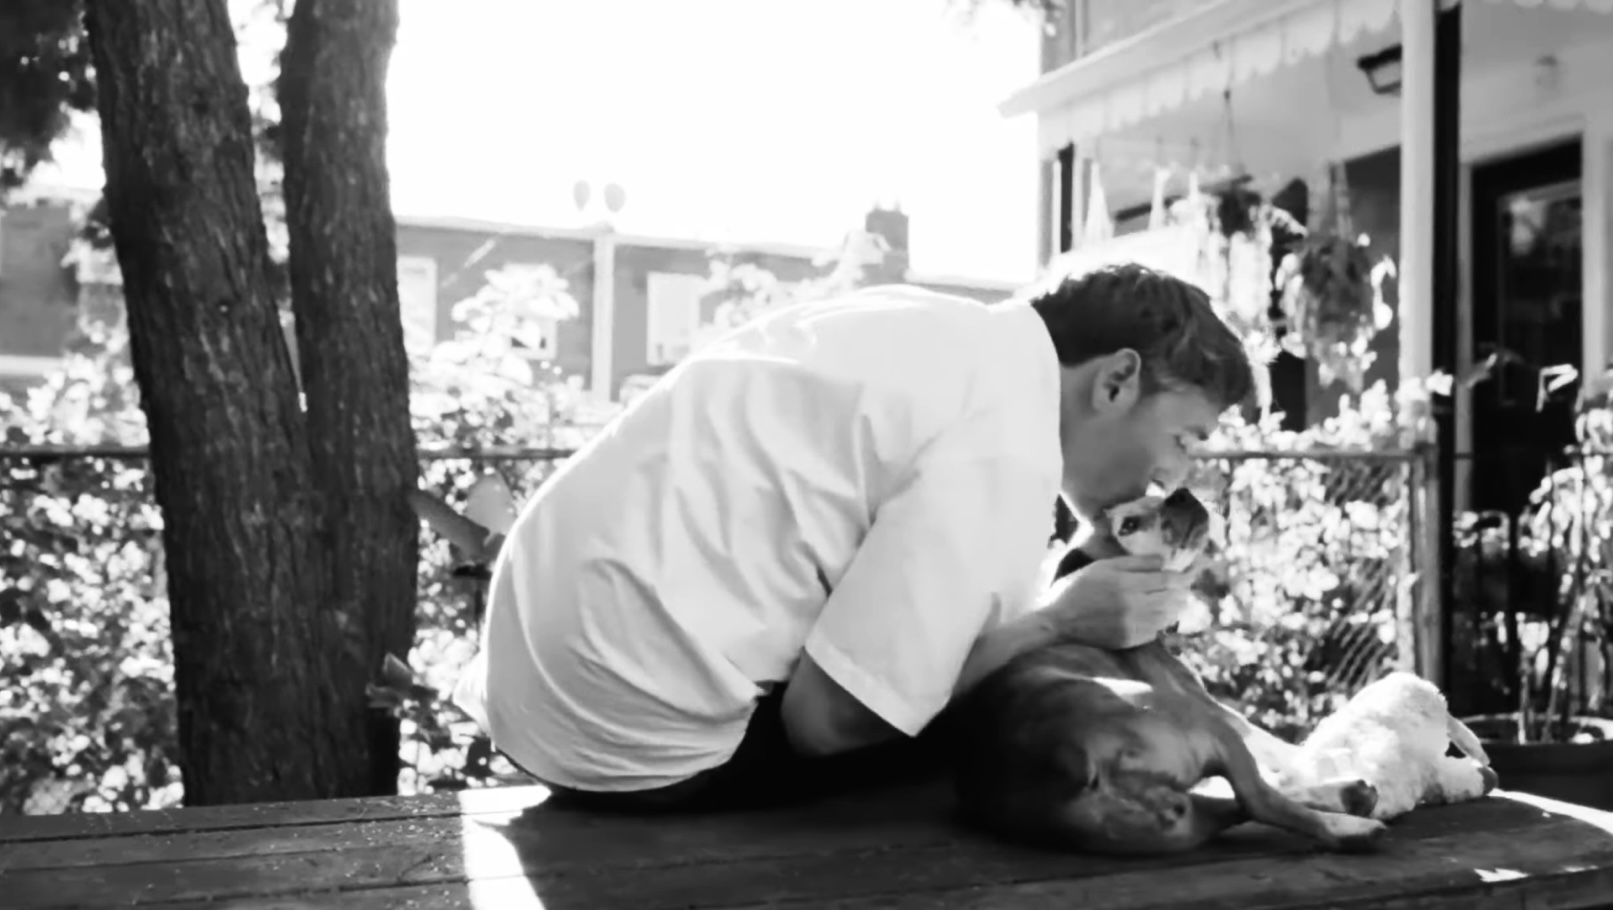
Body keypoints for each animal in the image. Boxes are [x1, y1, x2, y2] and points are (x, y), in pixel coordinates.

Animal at [943, 488, 1387, 855]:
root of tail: (1060, 763)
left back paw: (1346, 796)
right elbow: (1277, 747)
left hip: (1186, 819)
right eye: (1128, 525)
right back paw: (1347, 824)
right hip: (1195, 722)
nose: (1179, 493)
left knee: (1239, 803)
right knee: (1260, 799)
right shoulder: (1218, 711)